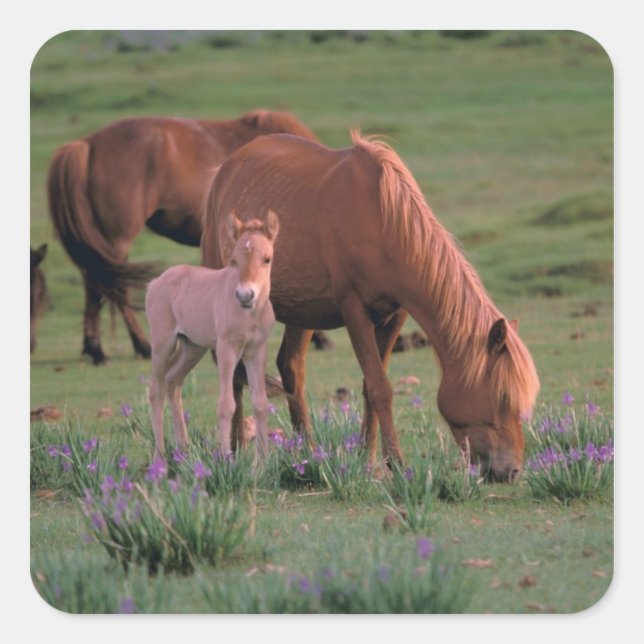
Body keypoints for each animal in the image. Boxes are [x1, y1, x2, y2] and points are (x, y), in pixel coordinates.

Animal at [47, 109, 317, 365]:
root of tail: (86, 145)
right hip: (116, 241)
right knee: (112, 287)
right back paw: (136, 345)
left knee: (95, 283)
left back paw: (96, 348)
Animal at [146, 210, 279, 461]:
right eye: (234, 261)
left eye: (267, 259)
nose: (245, 295)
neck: (249, 313)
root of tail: (156, 282)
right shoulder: (226, 348)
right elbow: (226, 404)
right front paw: (226, 458)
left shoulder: (257, 351)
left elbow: (260, 402)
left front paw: (264, 462)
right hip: (162, 343)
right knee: (156, 389)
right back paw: (160, 456)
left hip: (192, 347)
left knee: (173, 380)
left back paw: (184, 451)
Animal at [201, 131, 540, 482]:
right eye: (503, 396)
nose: (512, 470)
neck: (383, 222)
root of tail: (226, 171)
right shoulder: (354, 311)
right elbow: (381, 388)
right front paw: (397, 462)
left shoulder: (395, 315)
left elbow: (369, 387)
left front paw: (369, 457)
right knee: (233, 374)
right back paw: (236, 450)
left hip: (302, 313)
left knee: (290, 369)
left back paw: (307, 452)